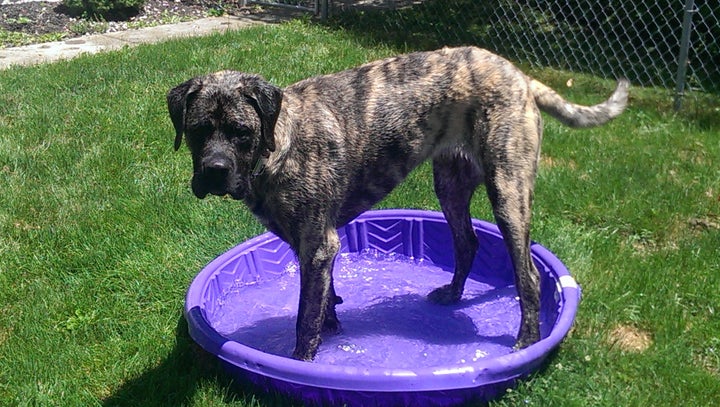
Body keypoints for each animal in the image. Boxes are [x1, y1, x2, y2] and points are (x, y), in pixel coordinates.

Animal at [169, 46, 632, 362]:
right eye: (197, 130)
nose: (213, 171)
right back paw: (453, 294)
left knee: (529, 275)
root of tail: (518, 74)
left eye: (241, 133)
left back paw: (526, 341)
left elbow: (305, 317)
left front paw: (302, 361)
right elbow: (326, 299)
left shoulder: (317, 245)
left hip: (508, 190)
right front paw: (332, 326)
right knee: (467, 243)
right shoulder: (317, 247)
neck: (278, 142)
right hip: (450, 183)